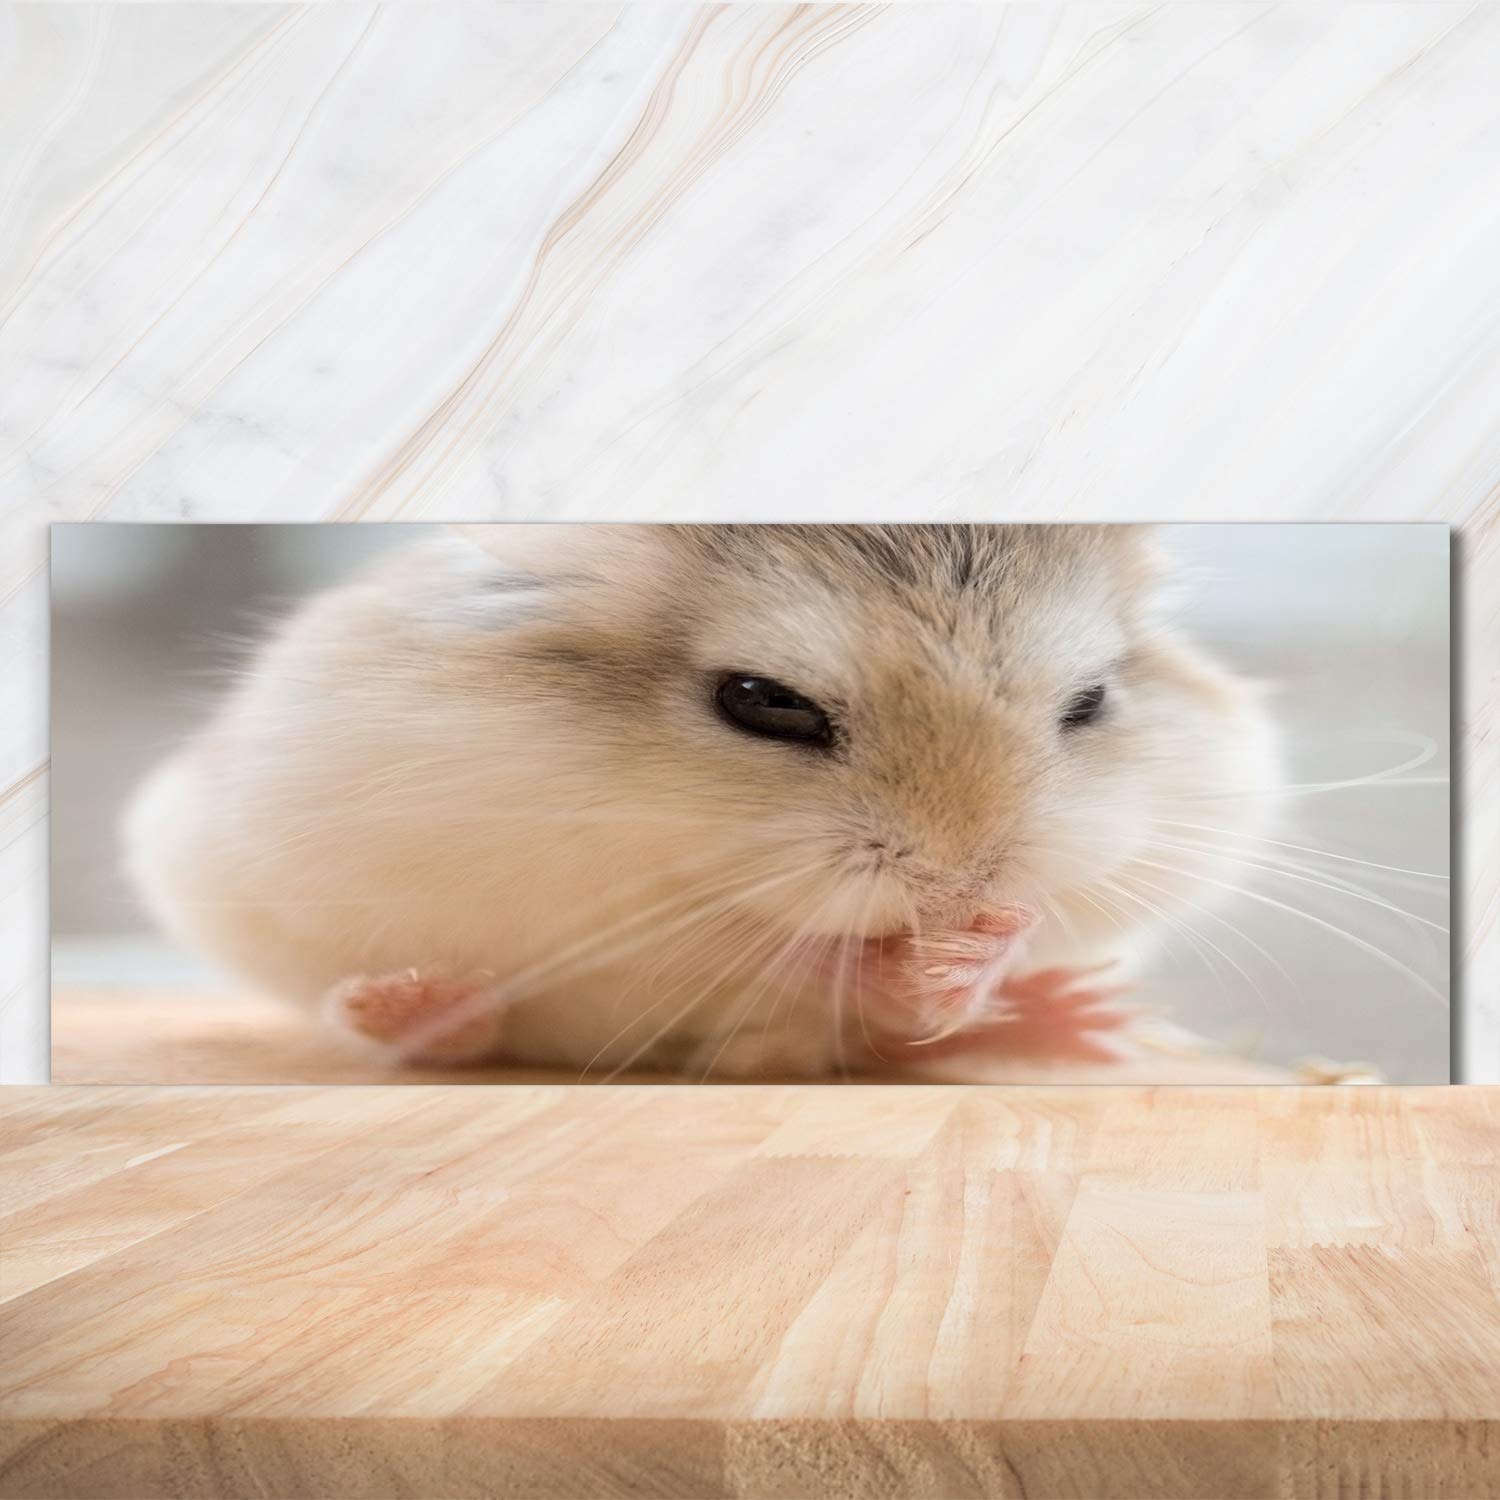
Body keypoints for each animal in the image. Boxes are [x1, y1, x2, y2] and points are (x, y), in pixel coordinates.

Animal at [124, 525, 1277, 1079]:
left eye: (1091, 703)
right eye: (763, 703)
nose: (959, 889)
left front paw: (974, 955)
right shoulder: (572, 886)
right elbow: (732, 937)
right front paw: (903, 957)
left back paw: (1072, 1017)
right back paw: (418, 1005)